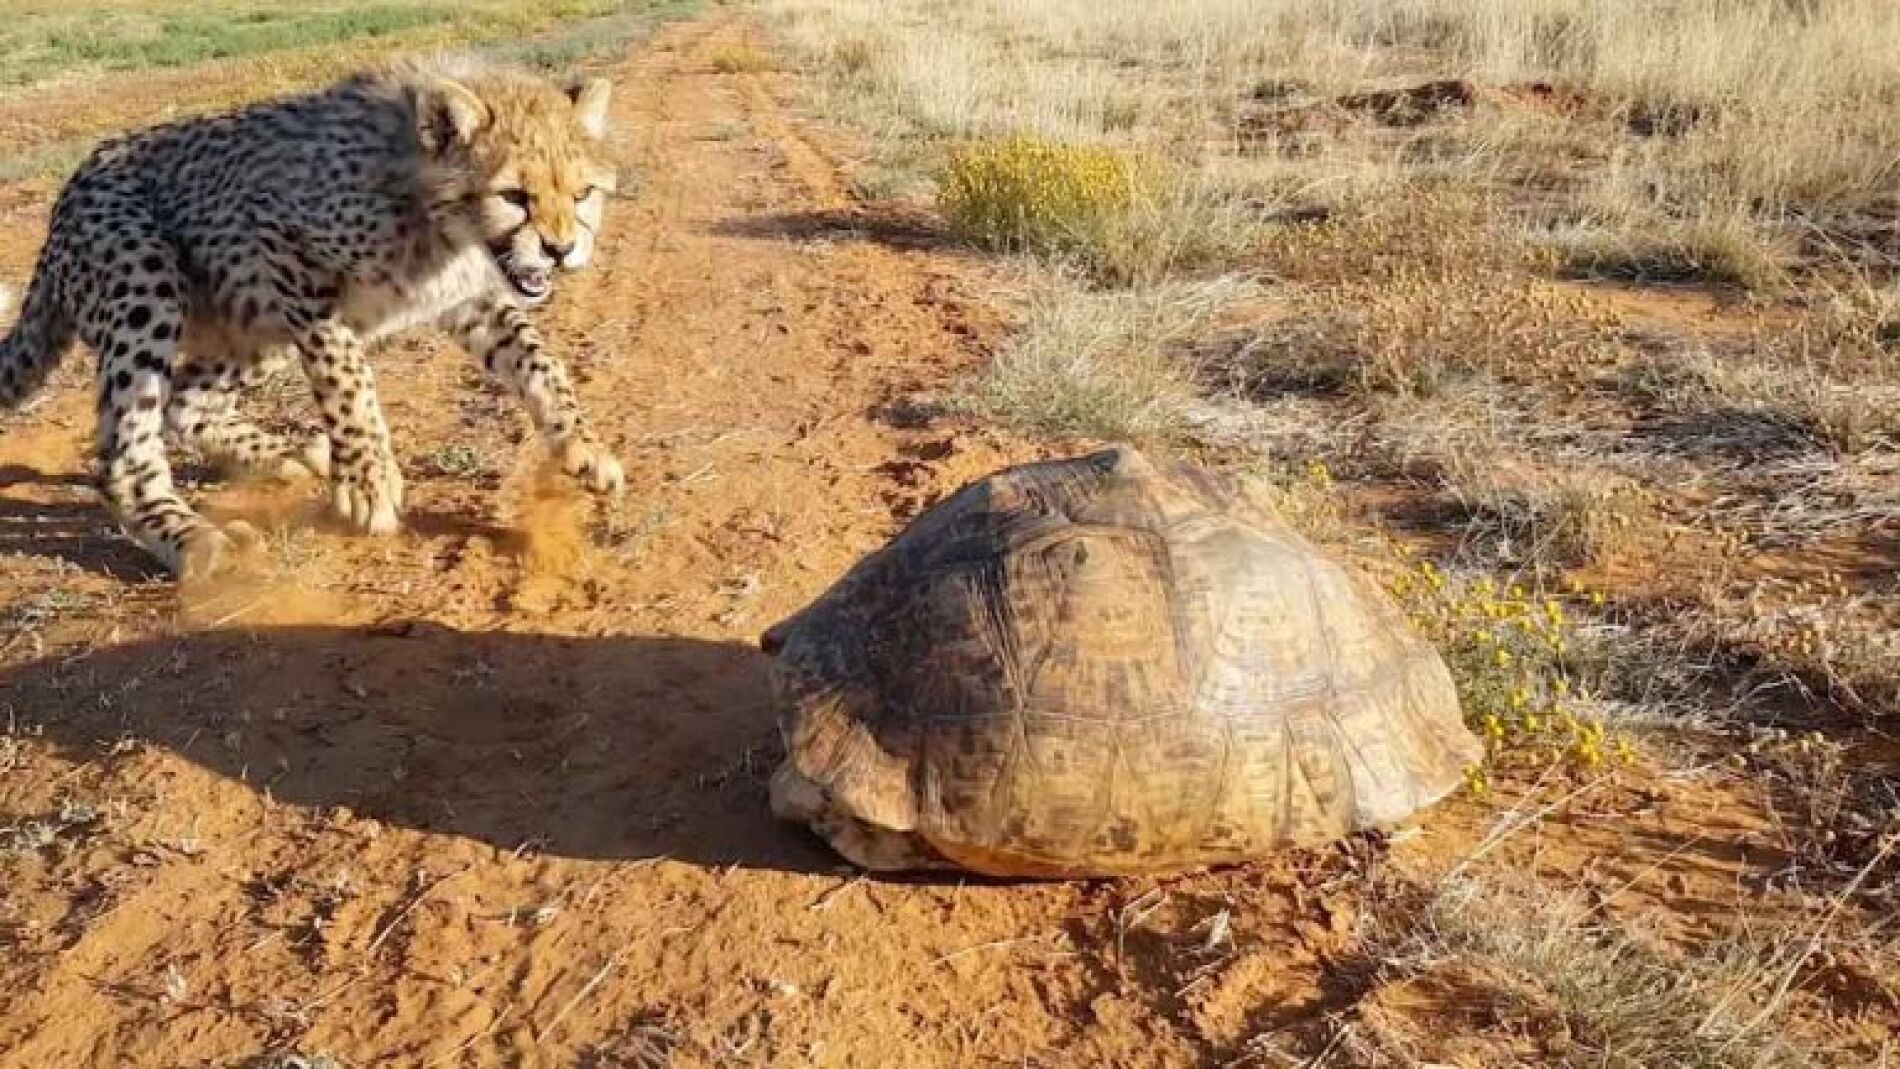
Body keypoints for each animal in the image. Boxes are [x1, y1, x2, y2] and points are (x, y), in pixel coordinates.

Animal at [0, 59, 626, 579]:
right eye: (515, 196)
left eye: (582, 194)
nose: (560, 250)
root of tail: (69, 192)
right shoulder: (280, 242)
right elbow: (346, 376)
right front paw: (368, 480)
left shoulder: (465, 298)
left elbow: (539, 360)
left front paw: (584, 447)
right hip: (148, 284)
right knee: (123, 457)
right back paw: (195, 538)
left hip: (257, 326)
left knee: (183, 399)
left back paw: (287, 455)